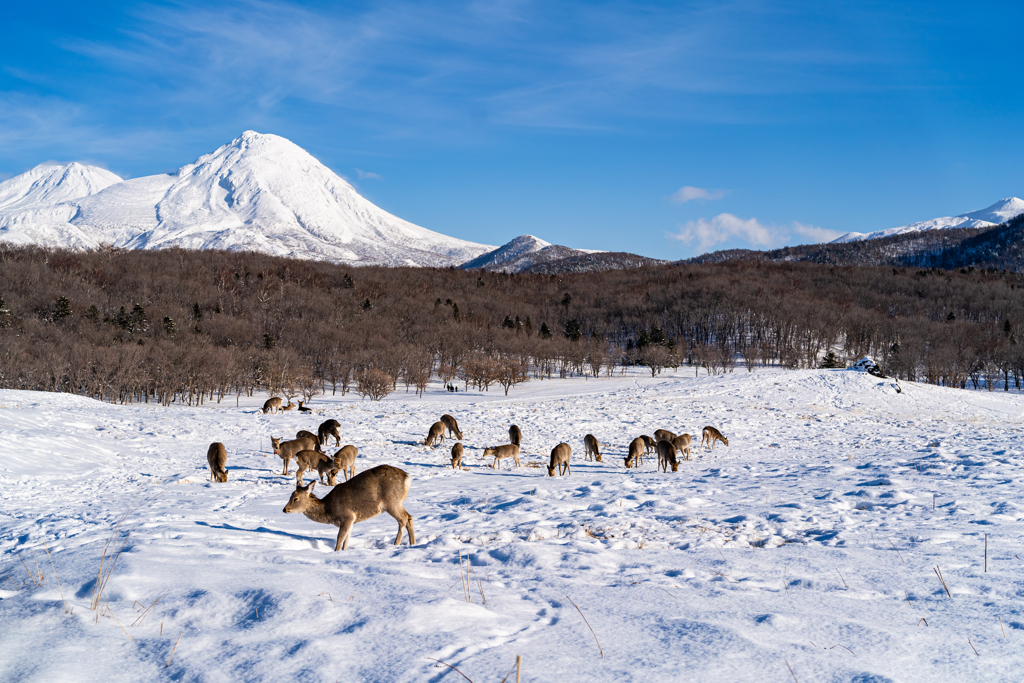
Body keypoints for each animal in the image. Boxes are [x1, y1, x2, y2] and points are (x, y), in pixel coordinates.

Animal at [280, 466, 415, 552]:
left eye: (295, 498)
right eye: (290, 496)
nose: (284, 509)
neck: (329, 510)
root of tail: (407, 478)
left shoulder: (347, 516)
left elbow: (340, 539)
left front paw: (336, 552)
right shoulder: (352, 521)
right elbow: (347, 540)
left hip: (391, 502)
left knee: (403, 519)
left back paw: (395, 545)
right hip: (398, 502)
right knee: (409, 517)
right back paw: (413, 543)